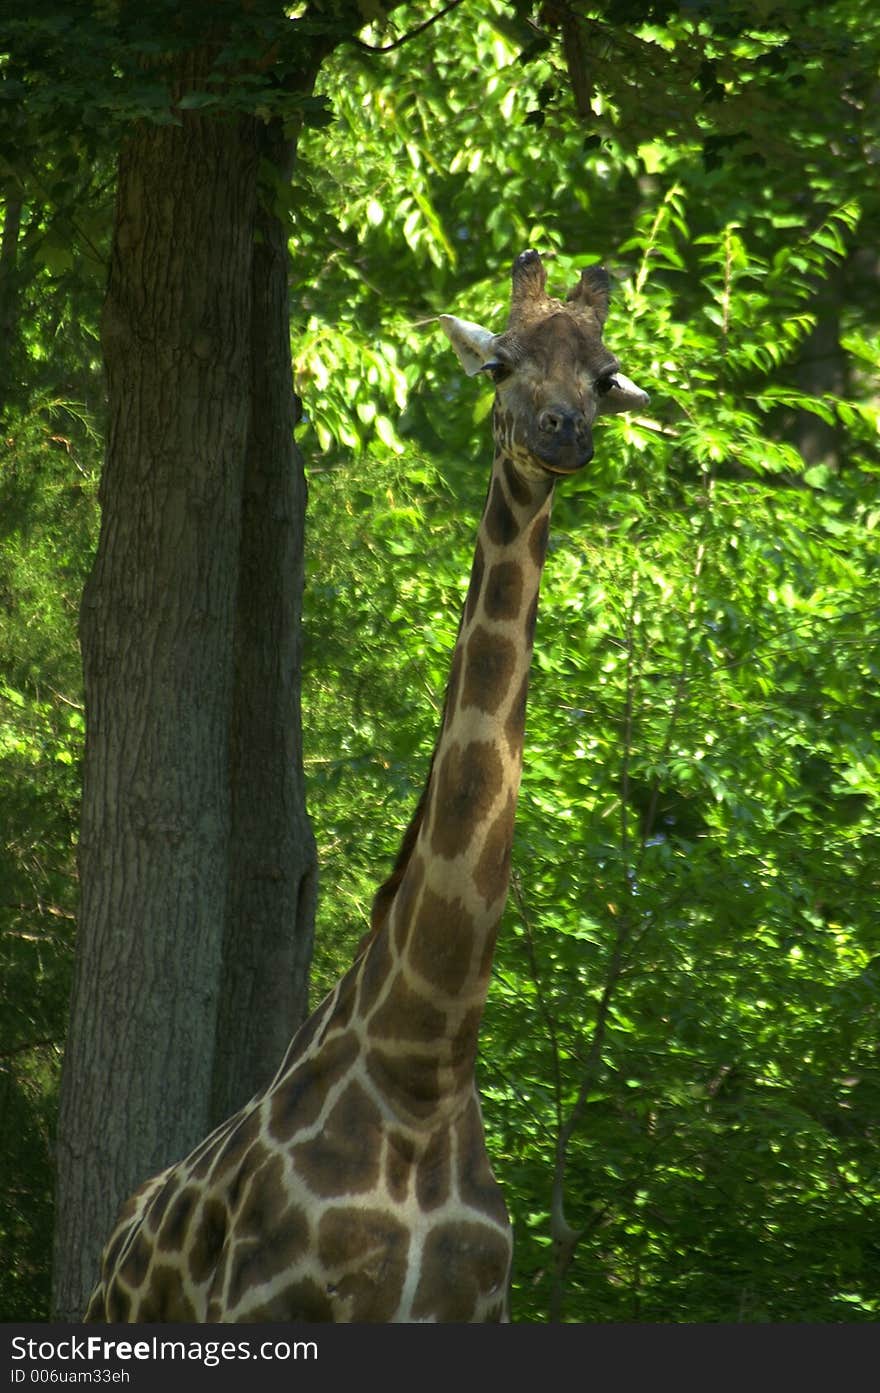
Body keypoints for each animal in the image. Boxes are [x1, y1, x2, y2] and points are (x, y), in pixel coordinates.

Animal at [84, 250, 646, 1326]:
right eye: (499, 364)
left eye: (604, 378)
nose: (563, 433)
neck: (423, 1060)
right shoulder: (263, 1305)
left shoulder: (474, 1311)